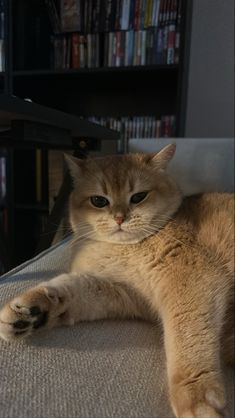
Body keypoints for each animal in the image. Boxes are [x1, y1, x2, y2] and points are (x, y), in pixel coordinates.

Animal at [0, 145, 234, 418]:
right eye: (99, 201)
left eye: (139, 197)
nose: (120, 218)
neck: (121, 249)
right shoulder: (120, 292)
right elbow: (69, 288)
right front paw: (31, 311)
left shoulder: (192, 279)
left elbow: (186, 337)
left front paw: (196, 399)